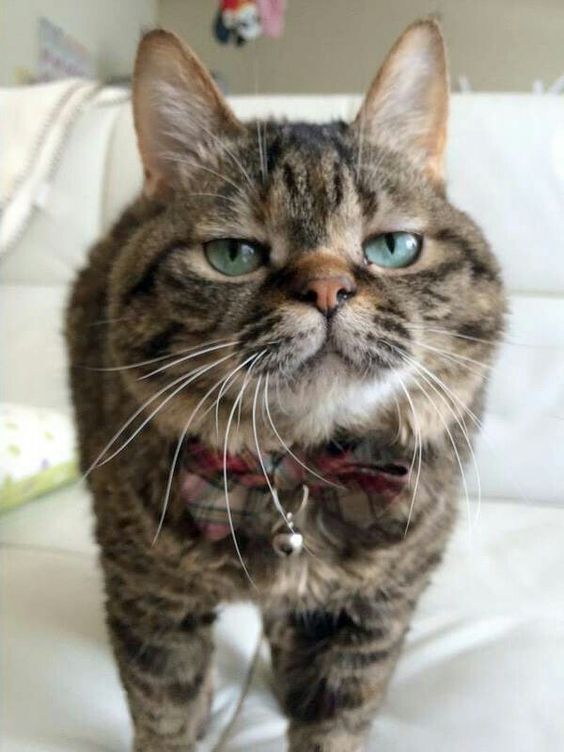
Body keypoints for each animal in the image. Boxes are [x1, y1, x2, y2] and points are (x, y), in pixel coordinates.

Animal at [67, 17, 506, 752]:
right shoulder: (147, 598)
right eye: (232, 254)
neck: (298, 474)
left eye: (393, 247)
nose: (326, 288)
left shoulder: (373, 616)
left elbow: (335, 720)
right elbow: (163, 712)